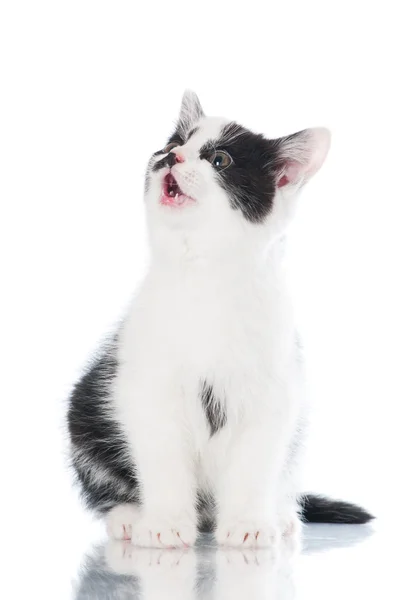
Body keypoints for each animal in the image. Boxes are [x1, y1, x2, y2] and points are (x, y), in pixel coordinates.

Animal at [67, 91, 374, 548]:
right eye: (174, 142)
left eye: (219, 160)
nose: (170, 156)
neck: (205, 275)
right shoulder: (147, 388)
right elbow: (161, 459)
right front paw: (165, 523)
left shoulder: (272, 394)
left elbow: (254, 465)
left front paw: (248, 524)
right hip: (84, 411)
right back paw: (128, 515)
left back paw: (279, 514)